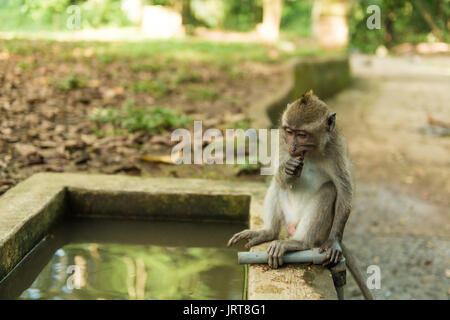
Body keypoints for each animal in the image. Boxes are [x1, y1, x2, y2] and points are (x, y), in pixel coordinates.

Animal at [227, 89, 374, 300]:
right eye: (289, 132)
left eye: (302, 134)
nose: (293, 147)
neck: (312, 152)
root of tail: (293, 226)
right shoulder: (281, 141)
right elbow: (278, 177)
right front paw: (288, 170)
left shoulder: (336, 148)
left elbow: (344, 189)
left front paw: (334, 242)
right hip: (287, 214)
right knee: (276, 185)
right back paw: (268, 231)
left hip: (319, 231)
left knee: (329, 190)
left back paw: (299, 242)